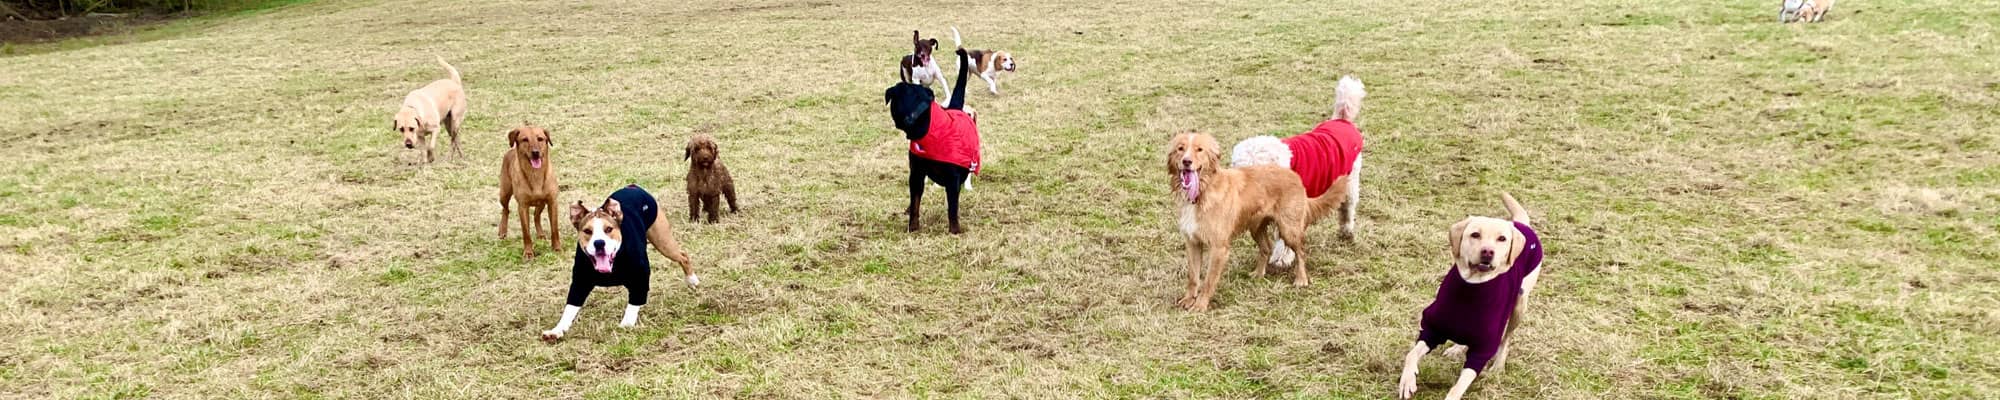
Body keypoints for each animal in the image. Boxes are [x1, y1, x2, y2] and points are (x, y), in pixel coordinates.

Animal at [498, 123, 556, 260]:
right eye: (525, 140)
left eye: (540, 139)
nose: (535, 153)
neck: (535, 174)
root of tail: (510, 151)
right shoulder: (523, 206)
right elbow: (526, 233)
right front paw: (528, 252)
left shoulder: (552, 202)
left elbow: (554, 229)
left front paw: (557, 248)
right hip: (504, 193)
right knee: (505, 210)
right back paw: (502, 230)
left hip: (541, 203)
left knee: (536, 216)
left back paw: (540, 233)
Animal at [1168, 133, 1320, 310]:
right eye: (1180, 148)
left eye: (1200, 149)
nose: (1186, 161)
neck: (1203, 192)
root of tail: (1294, 175)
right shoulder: (1193, 242)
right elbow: (1193, 276)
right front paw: (1188, 299)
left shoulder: (1219, 248)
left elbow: (1208, 281)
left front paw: (1200, 305)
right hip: (1256, 228)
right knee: (1266, 248)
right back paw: (1258, 274)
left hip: (1289, 229)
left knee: (1301, 251)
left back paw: (1301, 279)